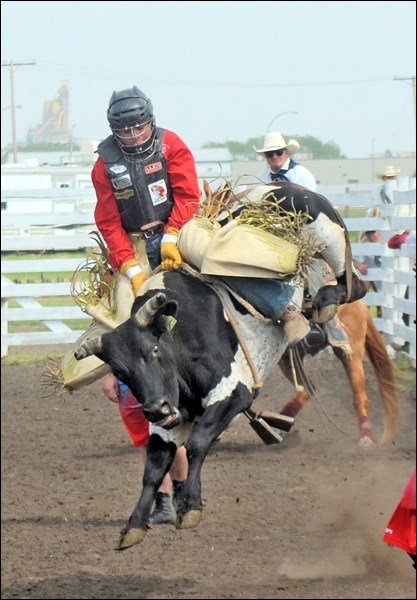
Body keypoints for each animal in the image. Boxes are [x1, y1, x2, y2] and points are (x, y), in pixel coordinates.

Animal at [276, 300, 400, 446]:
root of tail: (360, 304)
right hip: (290, 358)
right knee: (308, 388)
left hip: (352, 355)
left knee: (359, 397)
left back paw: (365, 438)